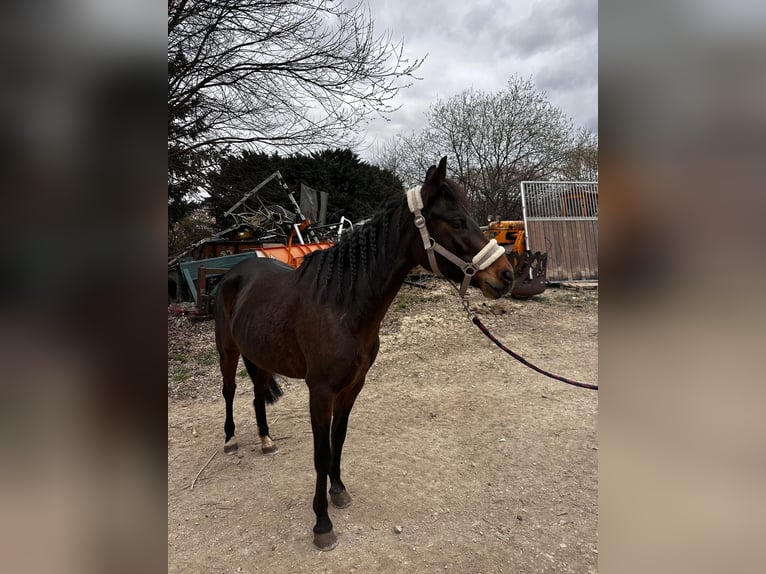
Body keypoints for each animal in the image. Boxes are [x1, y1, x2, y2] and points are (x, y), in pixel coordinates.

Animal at [214, 156, 514, 550]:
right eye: (457, 221)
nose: (506, 275)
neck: (341, 305)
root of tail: (233, 271)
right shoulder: (320, 391)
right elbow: (320, 453)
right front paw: (322, 524)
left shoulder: (353, 386)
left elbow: (338, 439)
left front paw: (338, 491)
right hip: (227, 351)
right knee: (229, 392)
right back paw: (231, 440)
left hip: (261, 354)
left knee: (256, 395)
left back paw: (266, 441)